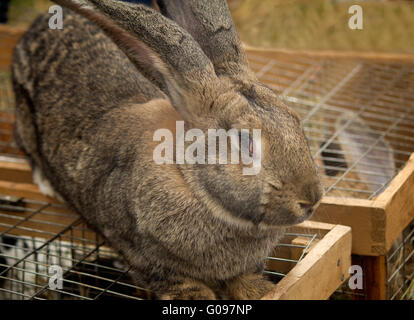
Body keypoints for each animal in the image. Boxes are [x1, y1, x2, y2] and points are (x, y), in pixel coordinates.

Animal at [11, 0, 322, 300]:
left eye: (295, 120)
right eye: (245, 140)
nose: (311, 200)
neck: (191, 182)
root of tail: (39, 23)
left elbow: (245, 279)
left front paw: (260, 290)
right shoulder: (146, 258)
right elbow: (180, 284)